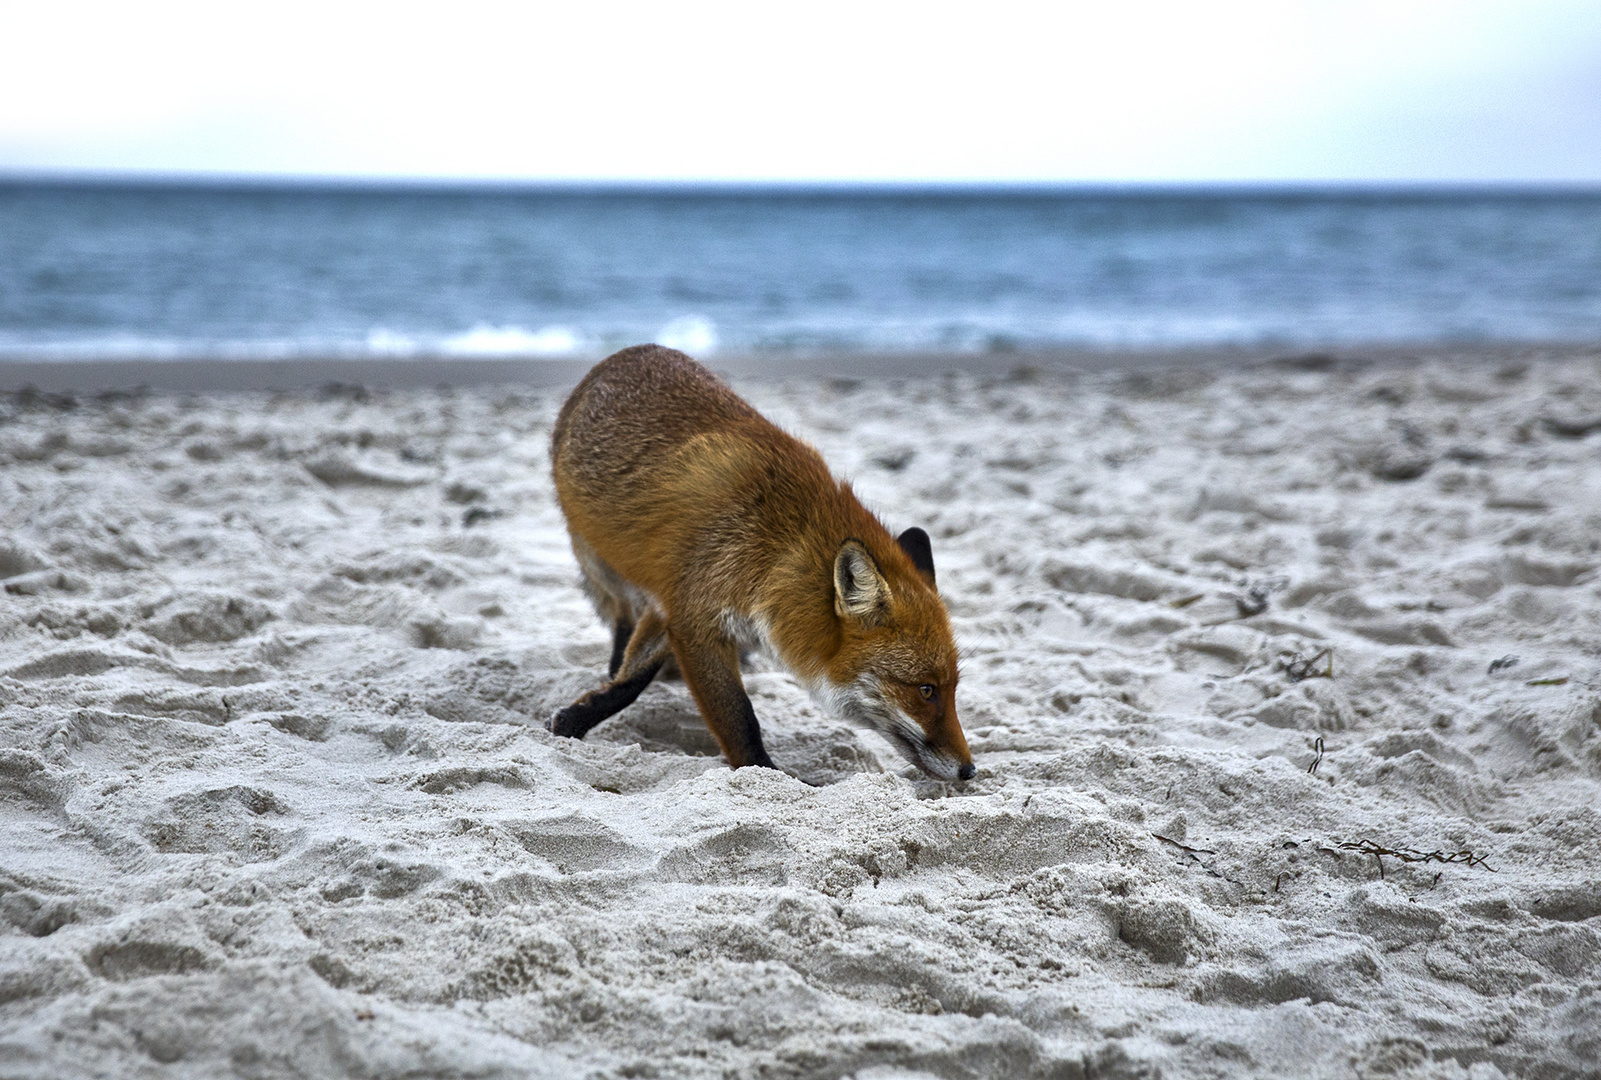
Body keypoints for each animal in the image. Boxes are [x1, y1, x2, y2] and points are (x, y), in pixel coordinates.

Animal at [550, 344, 973, 777]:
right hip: (601, 563)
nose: (970, 770)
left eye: (953, 687)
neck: (774, 551)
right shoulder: (693, 616)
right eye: (926, 690)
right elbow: (736, 717)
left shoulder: (675, 601)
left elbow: (636, 673)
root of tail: (633, 350)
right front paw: (764, 772)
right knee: (621, 615)